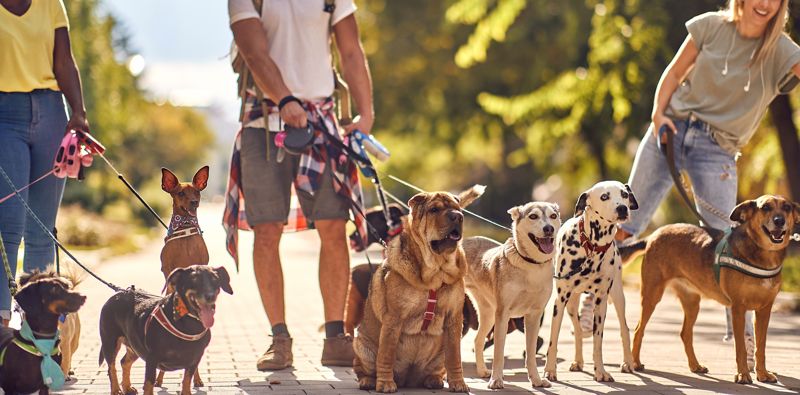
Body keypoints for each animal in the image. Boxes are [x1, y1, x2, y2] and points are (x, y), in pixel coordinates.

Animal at [98, 266, 233, 395]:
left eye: (215, 279)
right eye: (194, 279)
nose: (210, 296)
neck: (188, 324)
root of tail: (117, 294)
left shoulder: (194, 360)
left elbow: (186, 381)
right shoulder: (151, 359)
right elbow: (149, 384)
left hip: (135, 346)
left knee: (124, 362)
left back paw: (127, 388)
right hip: (110, 342)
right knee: (111, 367)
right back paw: (116, 390)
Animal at [354, 185, 484, 392]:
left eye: (457, 209)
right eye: (434, 210)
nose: (457, 216)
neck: (435, 273)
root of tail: (408, 380)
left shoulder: (453, 319)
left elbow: (455, 357)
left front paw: (458, 383)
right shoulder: (394, 319)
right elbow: (386, 354)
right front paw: (385, 384)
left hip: (439, 354)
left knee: (440, 367)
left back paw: (434, 380)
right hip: (361, 345)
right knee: (363, 368)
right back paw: (369, 381)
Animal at [544, 183, 636, 384]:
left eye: (624, 194)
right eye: (604, 196)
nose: (622, 208)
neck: (592, 247)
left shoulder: (601, 302)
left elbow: (598, 342)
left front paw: (600, 371)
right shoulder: (559, 302)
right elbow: (553, 340)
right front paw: (549, 370)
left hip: (618, 297)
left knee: (624, 329)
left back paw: (628, 362)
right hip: (571, 304)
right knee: (578, 330)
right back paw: (578, 361)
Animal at [620, 196, 796, 386]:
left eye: (787, 207)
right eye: (765, 208)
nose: (779, 221)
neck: (764, 256)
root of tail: (654, 235)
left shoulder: (764, 310)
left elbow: (761, 347)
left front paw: (762, 373)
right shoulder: (738, 309)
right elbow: (740, 347)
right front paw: (743, 375)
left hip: (692, 303)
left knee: (685, 333)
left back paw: (695, 366)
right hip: (652, 295)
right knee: (639, 330)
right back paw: (634, 363)